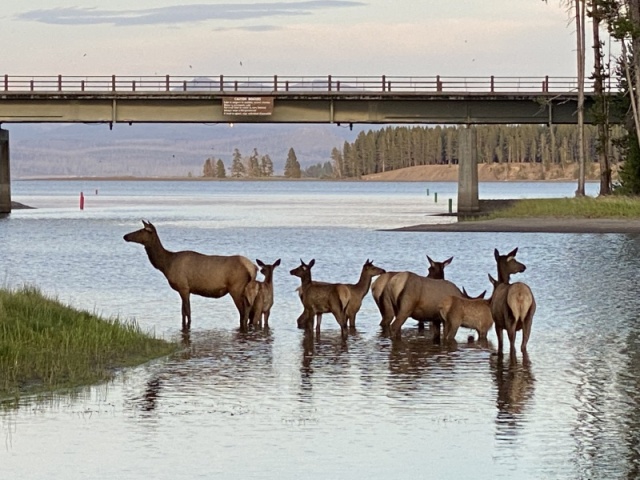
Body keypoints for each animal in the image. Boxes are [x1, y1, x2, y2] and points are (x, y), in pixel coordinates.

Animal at [122, 219, 258, 328]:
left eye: (141, 230)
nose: (125, 236)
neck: (166, 265)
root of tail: (253, 268)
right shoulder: (184, 289)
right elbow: (183, 312)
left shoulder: (183, 287)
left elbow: (187, 311)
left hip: (236, 288)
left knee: (243, 311)